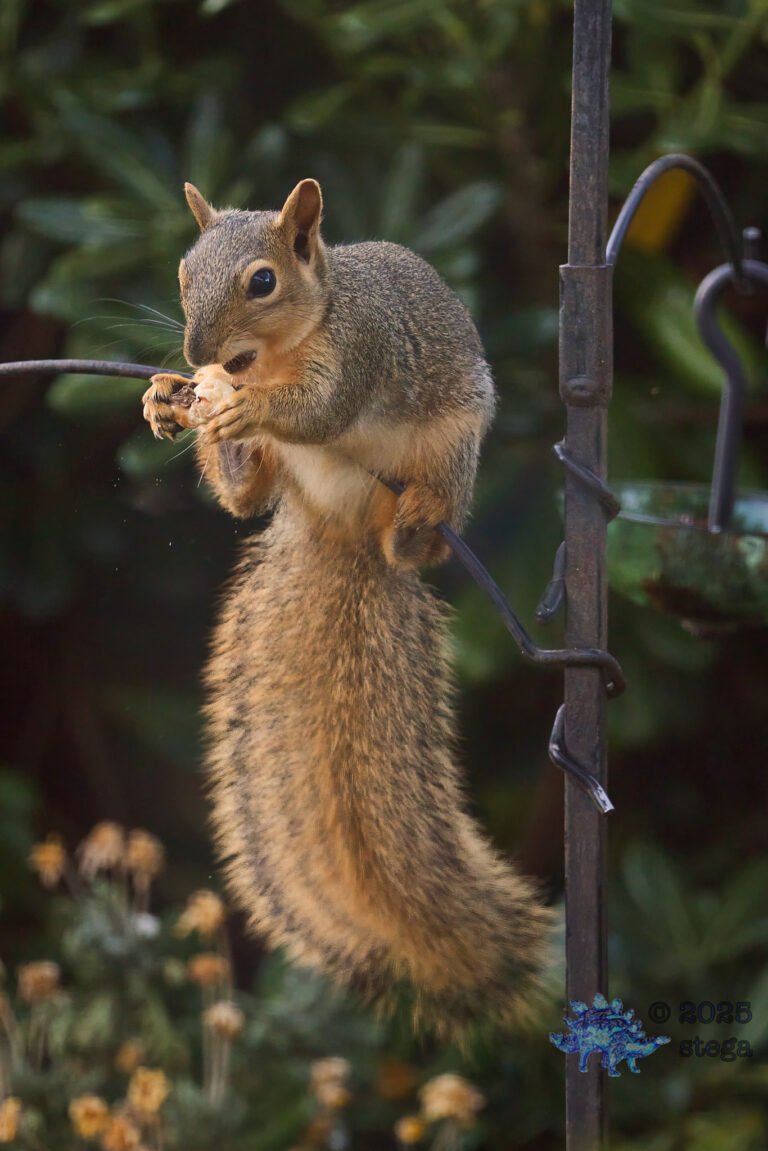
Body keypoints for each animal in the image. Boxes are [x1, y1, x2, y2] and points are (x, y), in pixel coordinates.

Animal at [142, 179, 552, 1036]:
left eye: (263, 281)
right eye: (184, 270)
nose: (196, 356)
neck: (274, 352)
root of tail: (341, 527)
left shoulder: (360, 352)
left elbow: (320, 411)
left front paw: (243, 405)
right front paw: (166, 395)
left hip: (452, 449)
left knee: (419, 542)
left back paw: (419, 520)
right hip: (285, 483)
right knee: (245, 497)